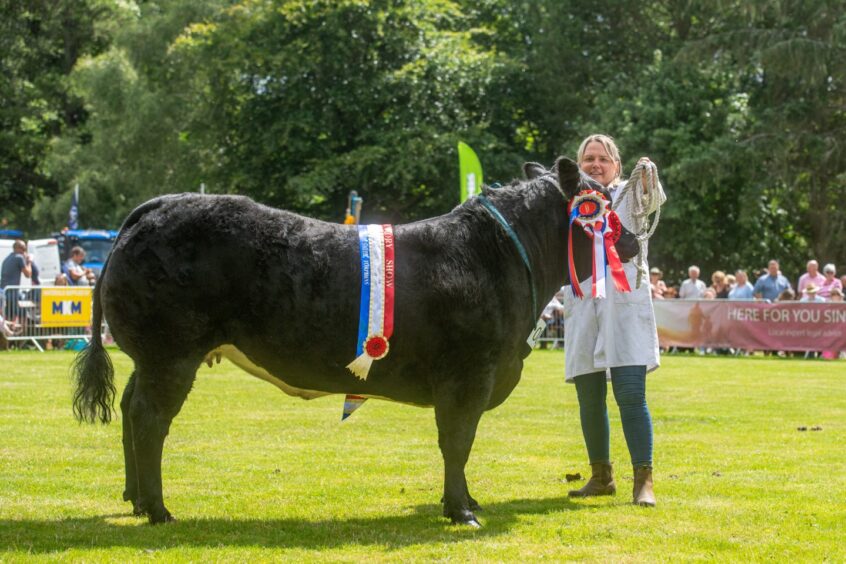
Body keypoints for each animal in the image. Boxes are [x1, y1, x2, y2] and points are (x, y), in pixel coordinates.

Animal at [76, 156, 640, 528]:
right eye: (602, 203)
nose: (633, 241)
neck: (496, 256)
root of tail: (159, 205)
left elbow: (458, 444)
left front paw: (466, 503)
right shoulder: (468, 374)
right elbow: (457, 442)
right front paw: (461, 510)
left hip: (152, 356)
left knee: (129, 409)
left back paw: (133, 497)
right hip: (171, 353)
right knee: (149, 419)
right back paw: (158, 510)